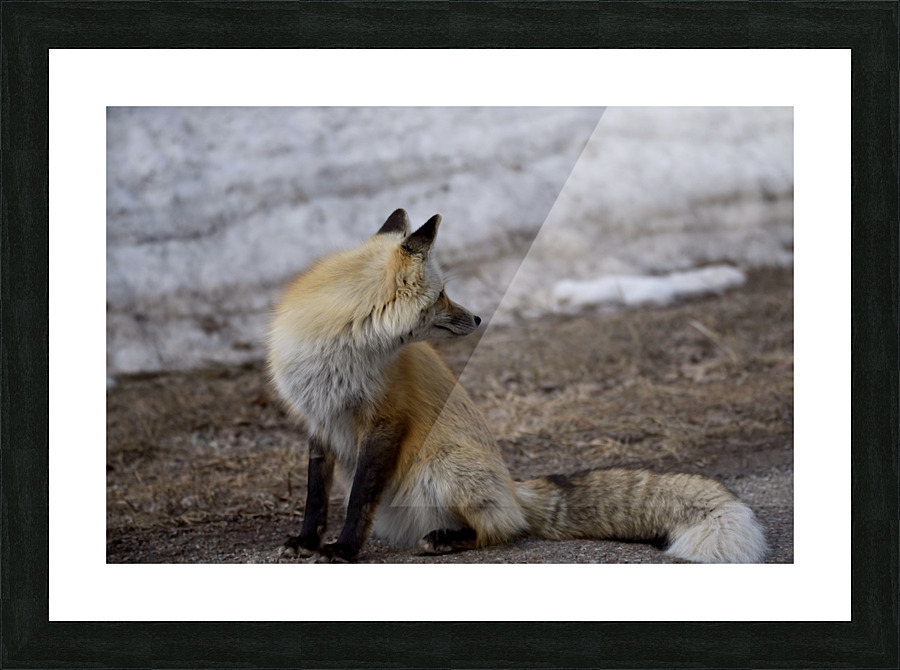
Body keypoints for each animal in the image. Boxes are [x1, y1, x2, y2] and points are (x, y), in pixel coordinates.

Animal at [266, 209, 768, 563]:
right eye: (443, 294)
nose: (478, 318)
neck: (338, 351)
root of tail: (513, 487)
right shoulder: (317, 418)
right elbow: (316, 497)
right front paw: (308, 542)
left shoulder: (385, 420)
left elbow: (359, 500)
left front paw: (345, 549)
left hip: (443, 468)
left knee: (504, 529)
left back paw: (448, 538)